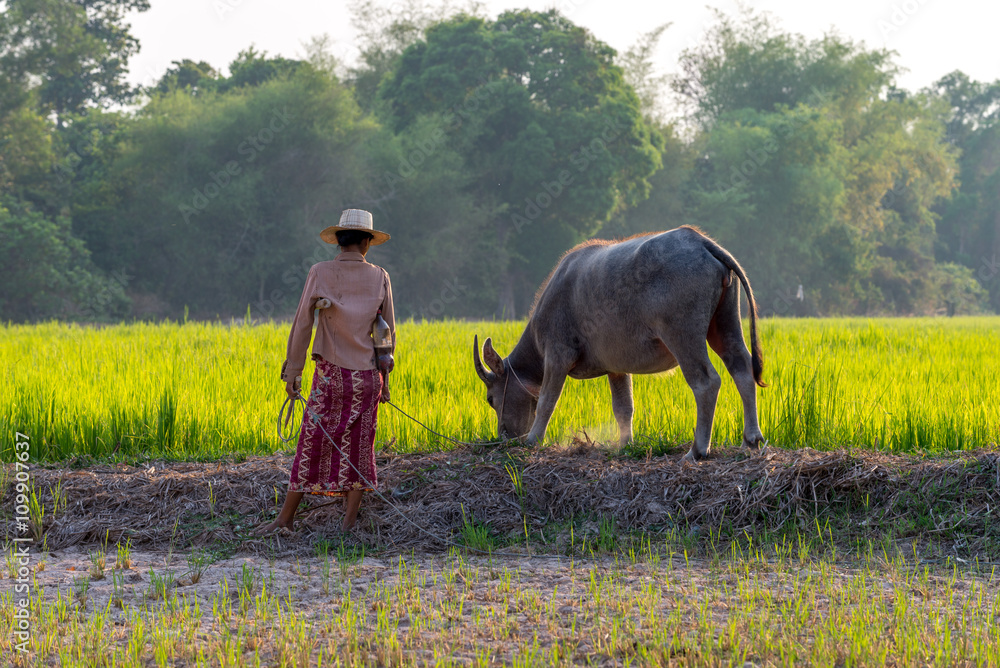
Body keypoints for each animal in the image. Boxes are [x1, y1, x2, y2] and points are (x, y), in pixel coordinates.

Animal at [473, 226, 766, 461]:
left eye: (490, 398)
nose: (504, 435)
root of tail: (700, 241)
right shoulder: (616, 368)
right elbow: (624, 408)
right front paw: (626, 444)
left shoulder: (558, 354)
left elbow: (547, 400)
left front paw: (533, 439)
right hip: (725, 323)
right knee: (741, 368)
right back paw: (751, 439)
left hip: (683, 335)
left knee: (706, 382)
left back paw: (697, 450)